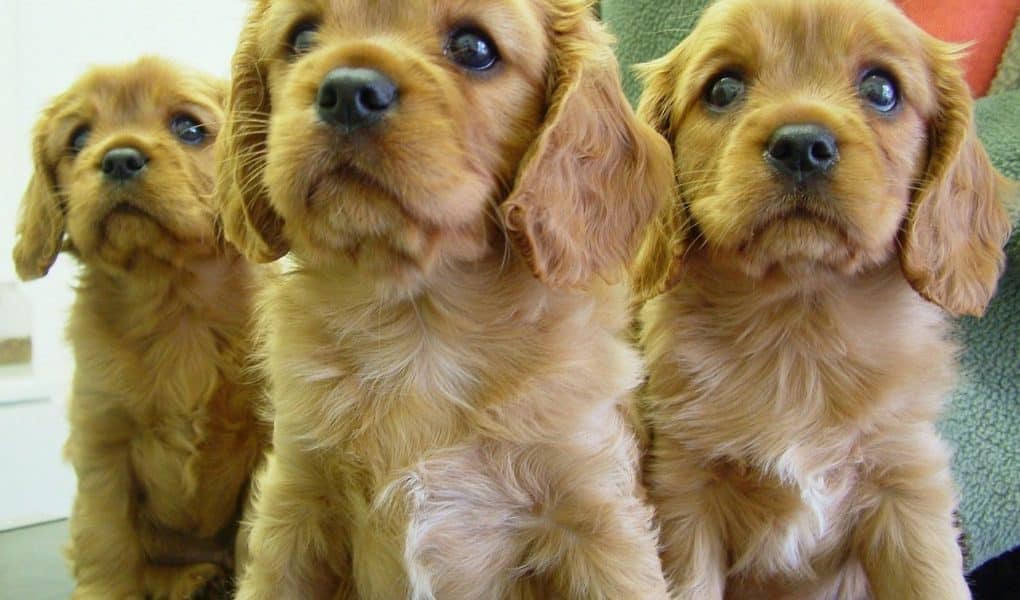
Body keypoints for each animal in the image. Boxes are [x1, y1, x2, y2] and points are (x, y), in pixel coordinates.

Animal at [13, 55, 269, 595]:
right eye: (78, 138)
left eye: (189, 128)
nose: (119, 159)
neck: (173, 301)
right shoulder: (102, 443)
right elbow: (106, 537)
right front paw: (105, 593)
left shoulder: (269, 435)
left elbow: (256, 535)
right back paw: (188, 577)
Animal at [218, 2, 673, 595]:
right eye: (302, 37)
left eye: (474, 48)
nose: (347, 91)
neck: (421, 324)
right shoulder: (294, 508)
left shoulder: (597, 520)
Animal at [636, 0, 1011, 595]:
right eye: (722, 88)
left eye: (882, 88)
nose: (801, 146)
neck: (801, 322)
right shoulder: (685, 494)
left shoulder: (908, 489)